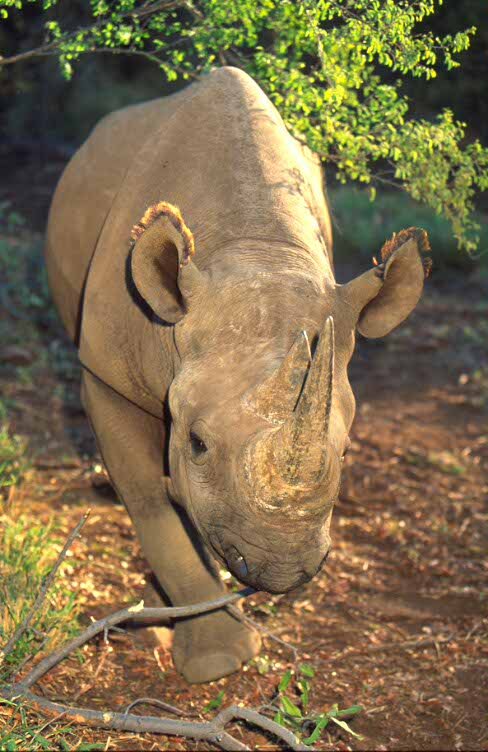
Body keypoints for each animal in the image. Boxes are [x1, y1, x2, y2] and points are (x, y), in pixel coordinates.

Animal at [45, 66, 430, 683]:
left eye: (346, 451)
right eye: (199, 443)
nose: (281, 570)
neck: (255, 249)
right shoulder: (105, 372)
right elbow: (150, 505)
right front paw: (216, 663)